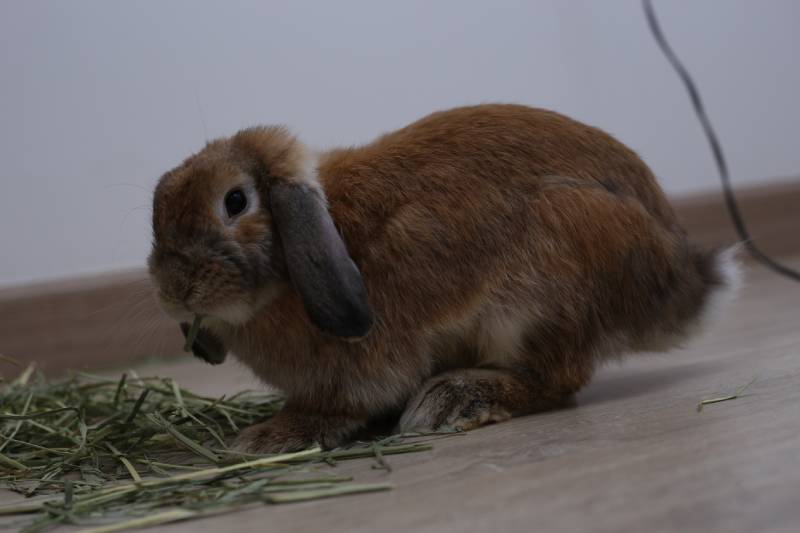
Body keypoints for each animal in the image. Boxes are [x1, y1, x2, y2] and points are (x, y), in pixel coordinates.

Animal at [148, 104, 741, 453]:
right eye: (157, 209)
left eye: (235, 201)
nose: (174, 293)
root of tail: (678, 277)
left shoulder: (363, 365)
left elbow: (338, 403)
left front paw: (269, 436)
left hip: (539, 297)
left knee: (558, 380)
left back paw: (453, 400)